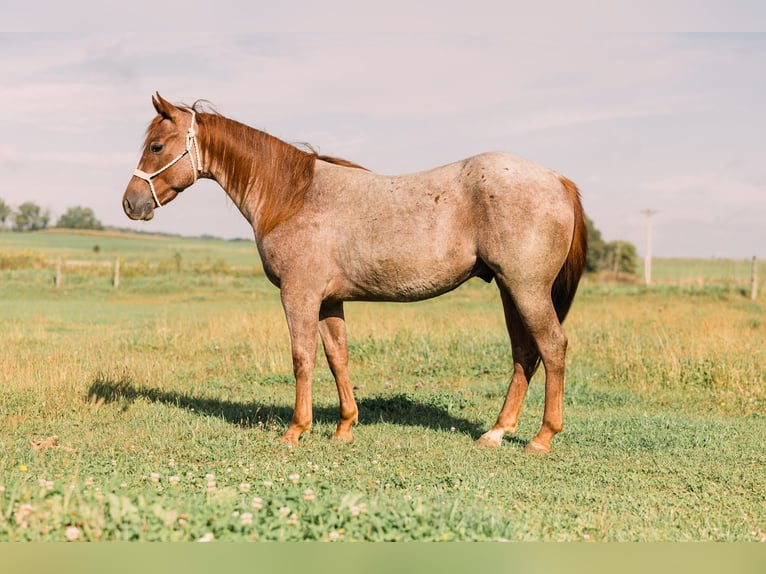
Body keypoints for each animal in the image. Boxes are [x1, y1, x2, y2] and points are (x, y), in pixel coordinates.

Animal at [122, 93, 587, 454]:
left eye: (158, 147)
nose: (130, 203)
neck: (293, 196)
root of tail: (557, 180)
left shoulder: (299, 295)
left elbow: (303, 358)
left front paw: (296, 430)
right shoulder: (329, 300)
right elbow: (337, 358)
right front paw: (344, 427)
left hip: (527, 290)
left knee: (552, 347)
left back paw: (542, 438)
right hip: (511, 291)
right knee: (524, 354)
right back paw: (496, 432)